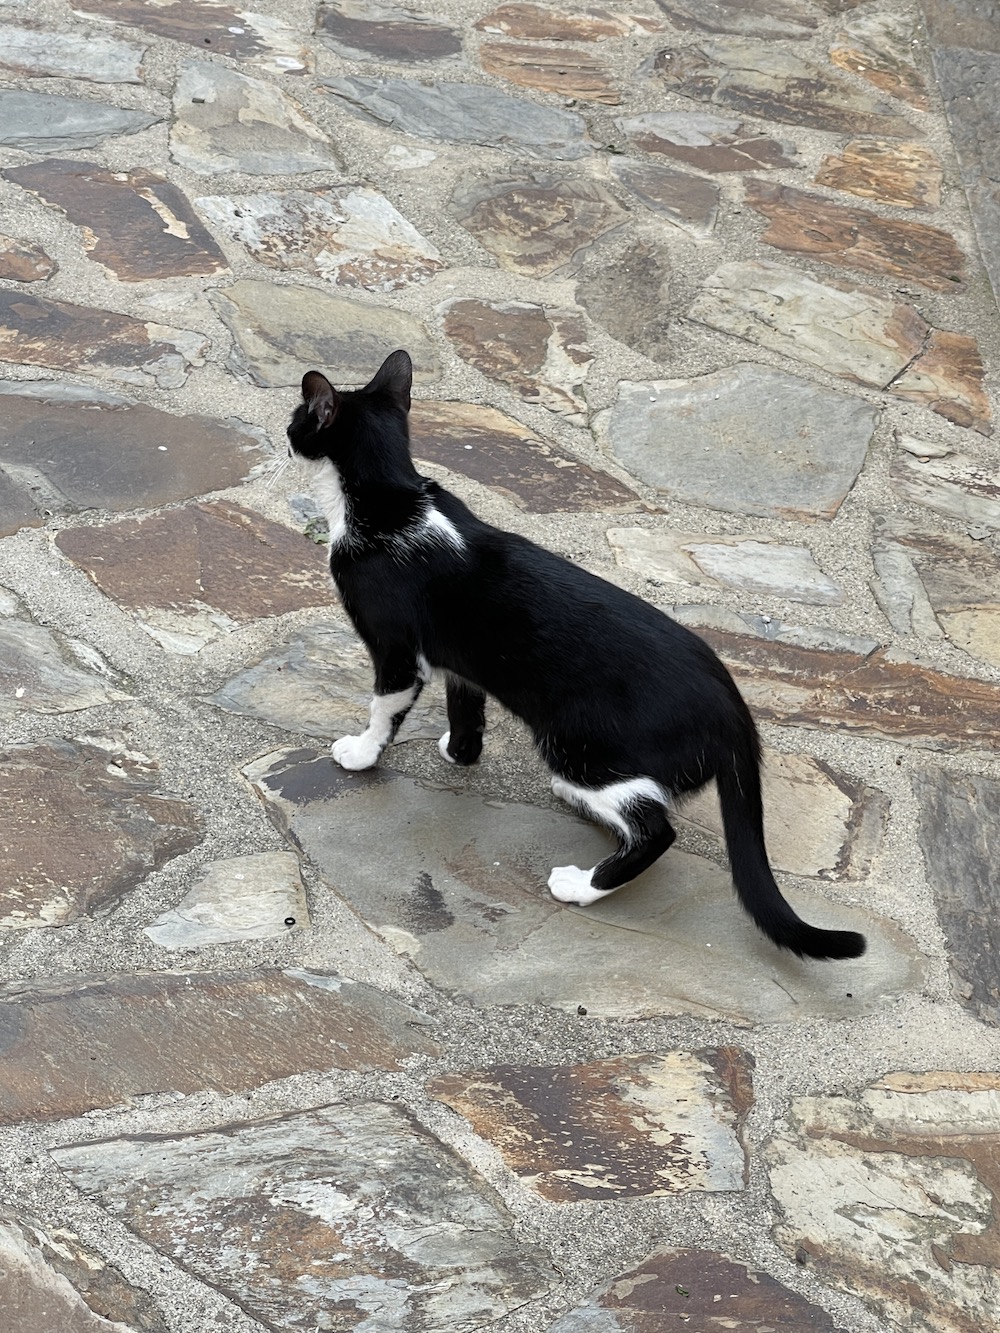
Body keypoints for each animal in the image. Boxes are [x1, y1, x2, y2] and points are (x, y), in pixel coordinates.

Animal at [287, 349, 865, 961]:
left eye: (297, 419)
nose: (285, 436)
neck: (390, 501)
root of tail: (735, 712)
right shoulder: (462, 662)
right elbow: (466, 706)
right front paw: (461, 751)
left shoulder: (395, 650)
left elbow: (384, 708)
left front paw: (360, 753)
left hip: (576, 740)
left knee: (656, 830)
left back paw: (582, 885)